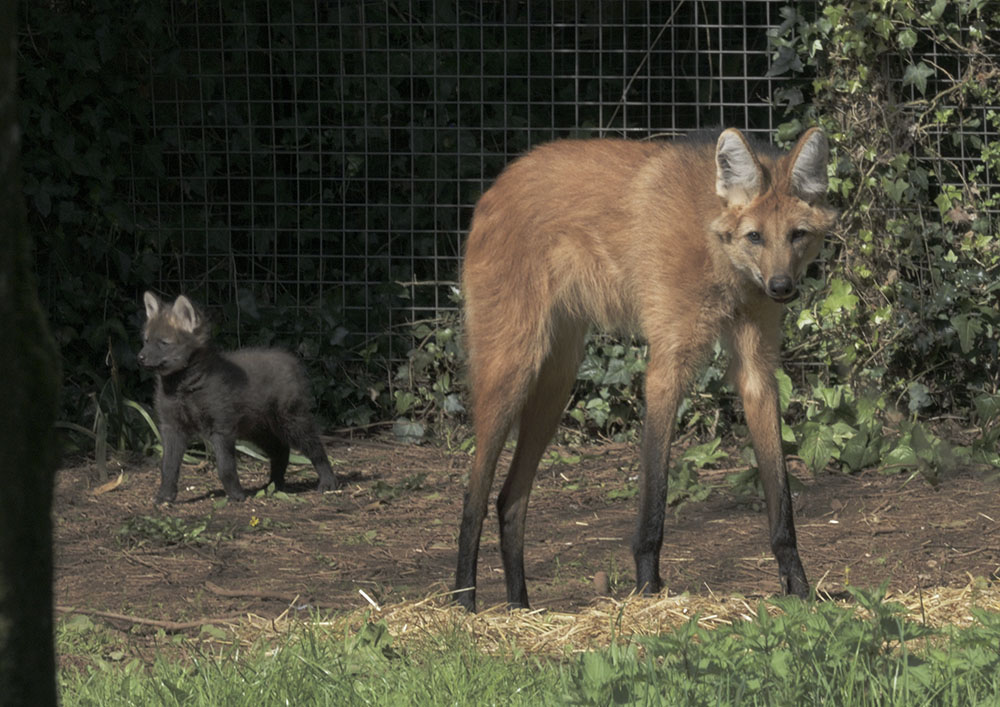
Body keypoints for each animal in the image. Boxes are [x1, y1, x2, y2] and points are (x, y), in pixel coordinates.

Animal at [138, 292, 339, 503]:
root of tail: (291, 359)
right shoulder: (172, 428)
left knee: (316, 449)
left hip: (292, 424)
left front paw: (235, 496)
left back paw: (328, 482)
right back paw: (273, 485)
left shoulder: (221, 428)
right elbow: (168, 468)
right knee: (281, 452)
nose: (140, 357)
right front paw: (165, 496)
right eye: (146, 340)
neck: (184, 388)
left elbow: (225, 468)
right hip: (257, 431)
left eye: (163, 343)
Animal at [454, 128, 838, 610]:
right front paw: (649, 589)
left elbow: (780, 495)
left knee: (509, 499)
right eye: (755, 237)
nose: (781, 287)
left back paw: (519, 608)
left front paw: (799, 588)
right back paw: (463, 603)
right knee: (475, 494)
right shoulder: (667, 365)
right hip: (513, 368)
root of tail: (497, 184)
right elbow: (655, 491)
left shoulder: (758, 367)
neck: (721, 259)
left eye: (796, 235)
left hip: (556, 381)